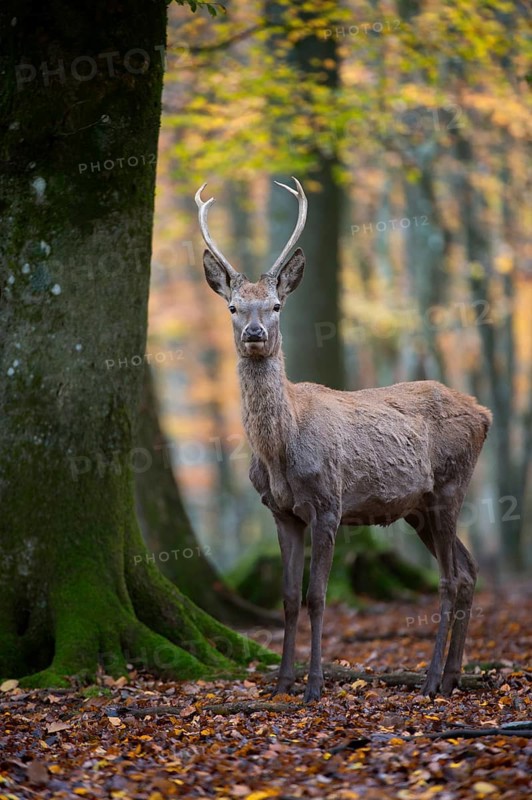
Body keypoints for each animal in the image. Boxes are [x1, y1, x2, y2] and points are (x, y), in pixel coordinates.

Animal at [196, 177, 492, 703]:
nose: (254, 332)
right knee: (470, 568)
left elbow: (317, 596)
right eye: (233, 306)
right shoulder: (280, 511)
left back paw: (432, 679)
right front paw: (282, 683)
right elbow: (288, 598)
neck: (280, 450)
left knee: (450, 577)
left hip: (450, 485)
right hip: (418, 507)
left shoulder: (328, 503)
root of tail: (485, 413)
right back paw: (454, 675)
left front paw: (314, 685)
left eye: (276, 305)